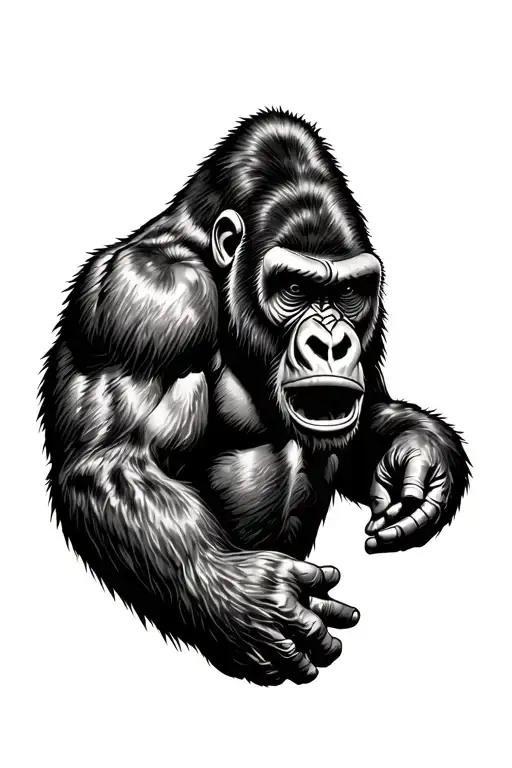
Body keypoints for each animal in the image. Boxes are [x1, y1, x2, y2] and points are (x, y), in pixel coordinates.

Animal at [39, 108, 470, 686]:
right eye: (295, 288)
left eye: (346, 293)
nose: (331, 342)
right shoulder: (147, 298)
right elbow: (115, 464)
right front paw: (247, 602)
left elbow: (369, 415)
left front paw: (420, 462)